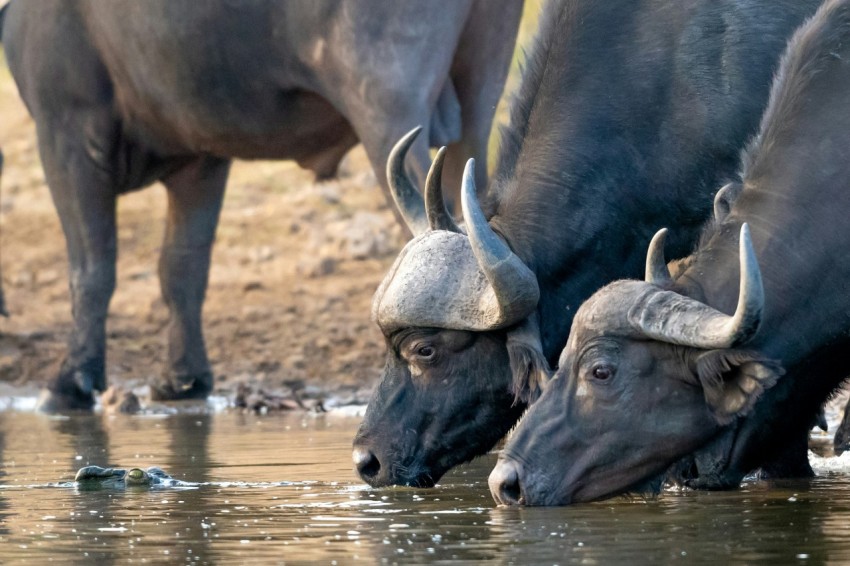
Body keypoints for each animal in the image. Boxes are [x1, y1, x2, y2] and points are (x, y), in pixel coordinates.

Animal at [0, 0, 524, 410]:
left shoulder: (66, 131)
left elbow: (90, 267)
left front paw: (69, 381)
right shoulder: (201, 160)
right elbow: (182, 268)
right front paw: (183, 378)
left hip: (386, 106)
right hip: (477, 99)